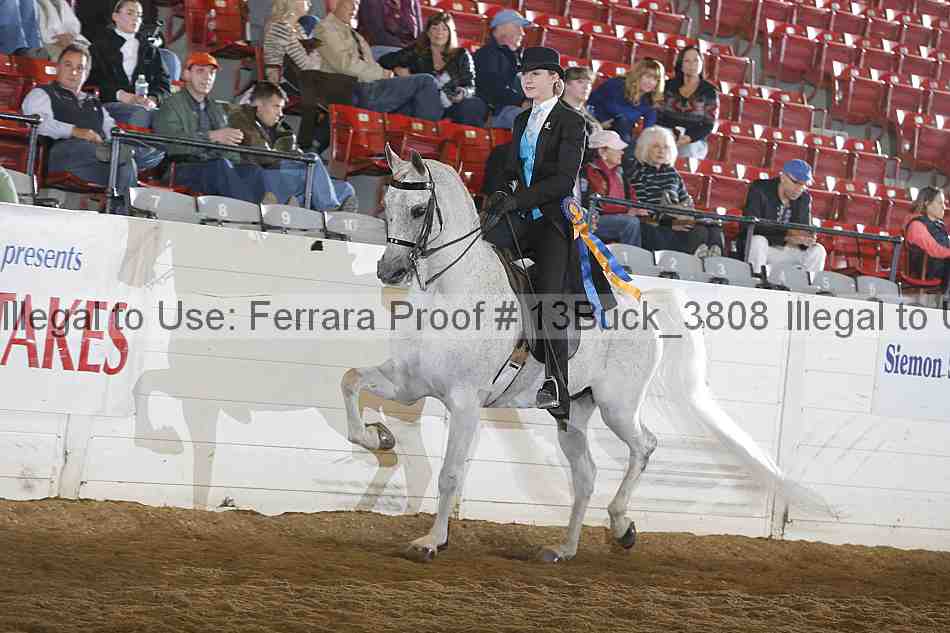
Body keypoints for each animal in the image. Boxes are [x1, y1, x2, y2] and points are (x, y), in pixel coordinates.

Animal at [341, 147, 828, 563]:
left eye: (418, 210)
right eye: (386, 204)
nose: (389, 270)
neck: (452, 292)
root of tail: (643, 305)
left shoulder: (464, 402)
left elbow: (450, 473)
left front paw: (430, 541)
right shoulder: (408, 383)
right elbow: (351, 380)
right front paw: (379, 438)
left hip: (617, 406)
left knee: (644, 446)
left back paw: (621, 526)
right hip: (573, 412)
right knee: (587, 474)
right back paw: (565, 549)